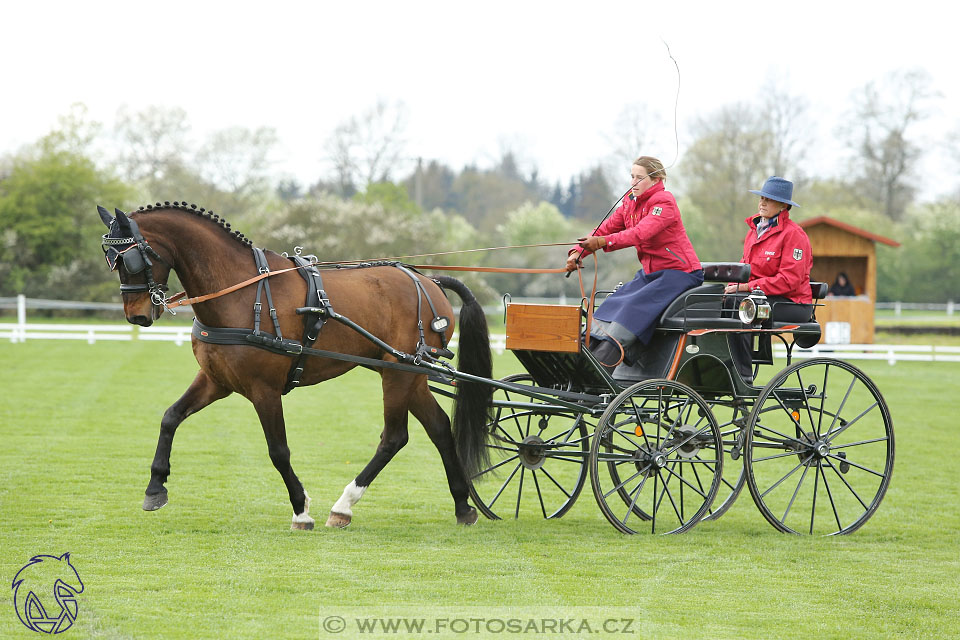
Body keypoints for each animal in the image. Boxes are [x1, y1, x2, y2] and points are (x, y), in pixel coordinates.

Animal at [95, 202, 496, 528]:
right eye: (110, 258)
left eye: (130, 258)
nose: (138, 316)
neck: (242, 291)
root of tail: (428, 279)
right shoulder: (215, 381)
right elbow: (170, 417)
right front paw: (155, 486)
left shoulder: (264, 389)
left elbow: (278, 450)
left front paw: (301, 509)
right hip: (407, 372)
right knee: (440, 428)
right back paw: (463, 506)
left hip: (398, 373)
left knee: (395, 437)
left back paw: (344, 505)